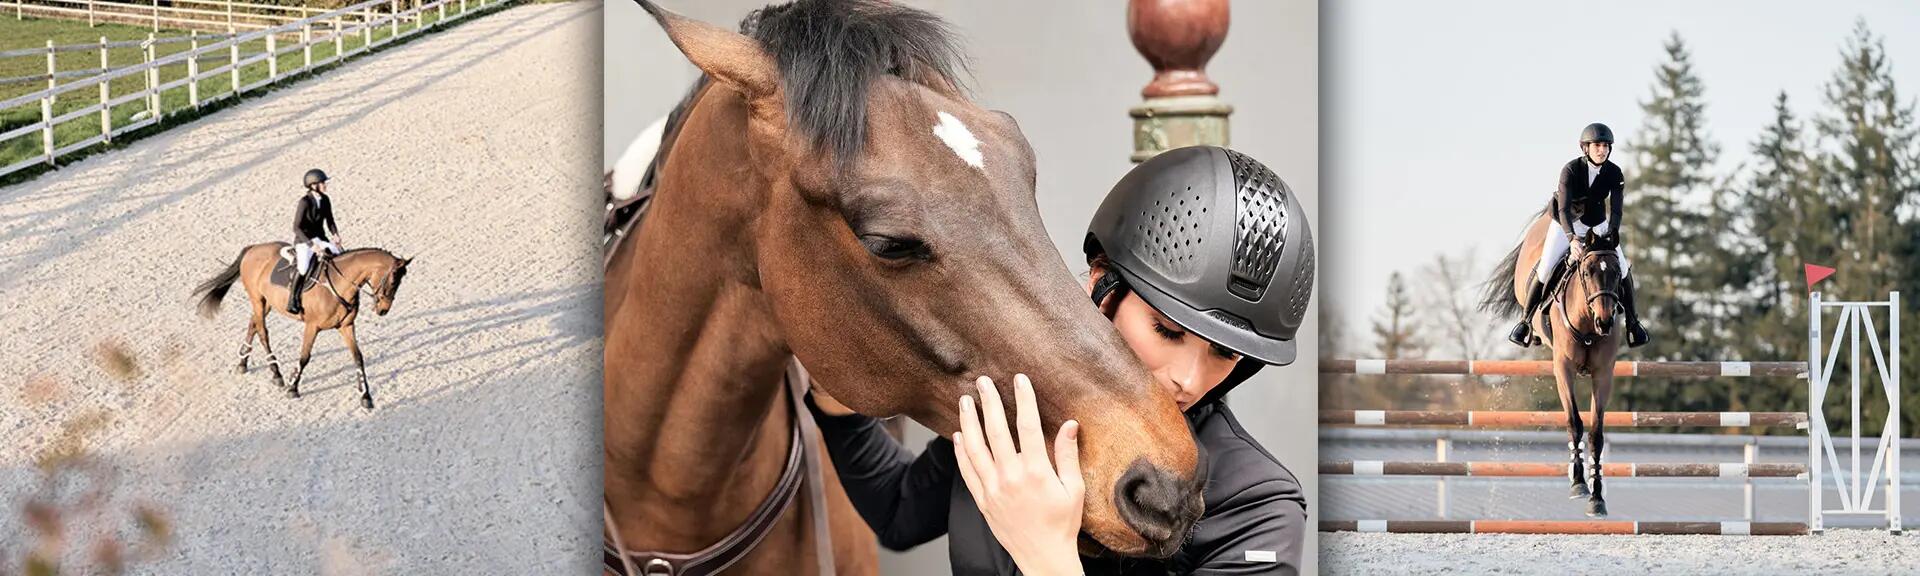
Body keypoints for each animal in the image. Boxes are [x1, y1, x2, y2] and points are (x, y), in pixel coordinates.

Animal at [193, 244, 412, 410]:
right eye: (393, 280)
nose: (383, 310)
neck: (339, 285)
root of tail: (253, 248)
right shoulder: (312, 326)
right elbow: (305, 357)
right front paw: (292, 387)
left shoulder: (346, 326)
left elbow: (358, 357)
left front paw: (366, 396)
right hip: (258, 300)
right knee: (263, 332)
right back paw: (276, 373)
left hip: (267, 303)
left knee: (253, 324)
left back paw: (242, 362)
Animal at [1481, 203, 1625, 517]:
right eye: (1588, 271)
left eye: (1618, 272)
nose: (1605, 322)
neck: (1587, 323)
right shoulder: (1563, 370)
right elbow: (1574, 422)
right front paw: (1578, 483)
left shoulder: (1603, 374)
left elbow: (1596, 434)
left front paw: (1597, 498)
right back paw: (1528, 331)